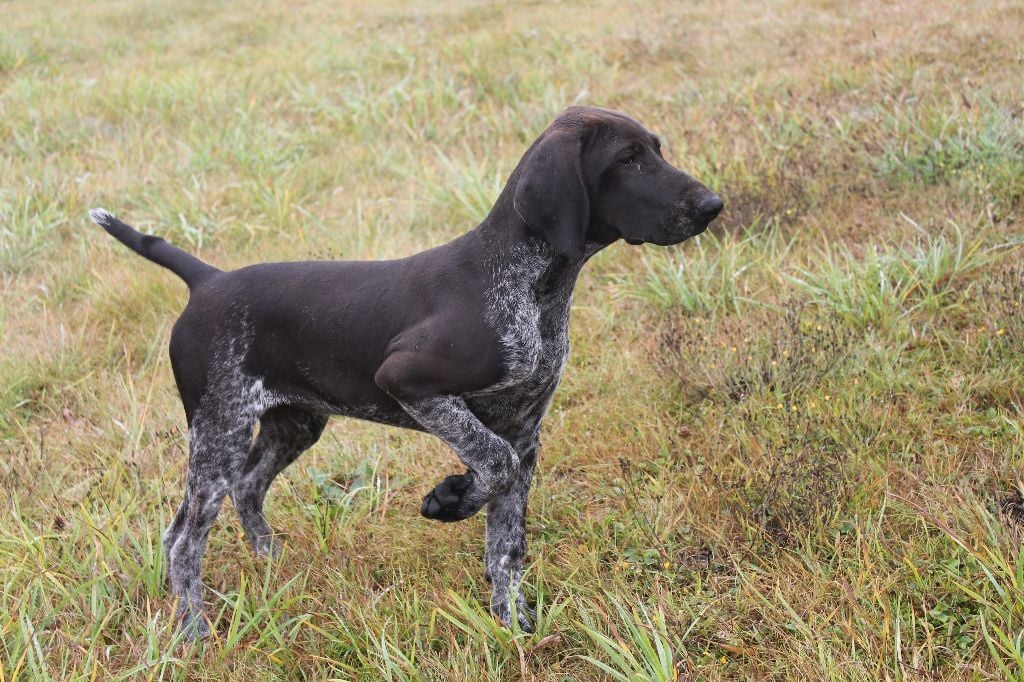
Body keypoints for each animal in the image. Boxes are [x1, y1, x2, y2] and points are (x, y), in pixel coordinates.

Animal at [92, 103, 724, 634]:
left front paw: (514, 624)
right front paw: (450, 498)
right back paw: (194, 630)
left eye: (656, 150)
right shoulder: (408, 381)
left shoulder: (526, 431)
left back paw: (268, 566)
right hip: (217, 431)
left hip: (292, 424)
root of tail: (208, 280)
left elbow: (507, 541)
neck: (534, 286)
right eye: (627, 160)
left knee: (243, 490)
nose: (712, 205)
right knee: (183, 539)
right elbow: (492, 463)